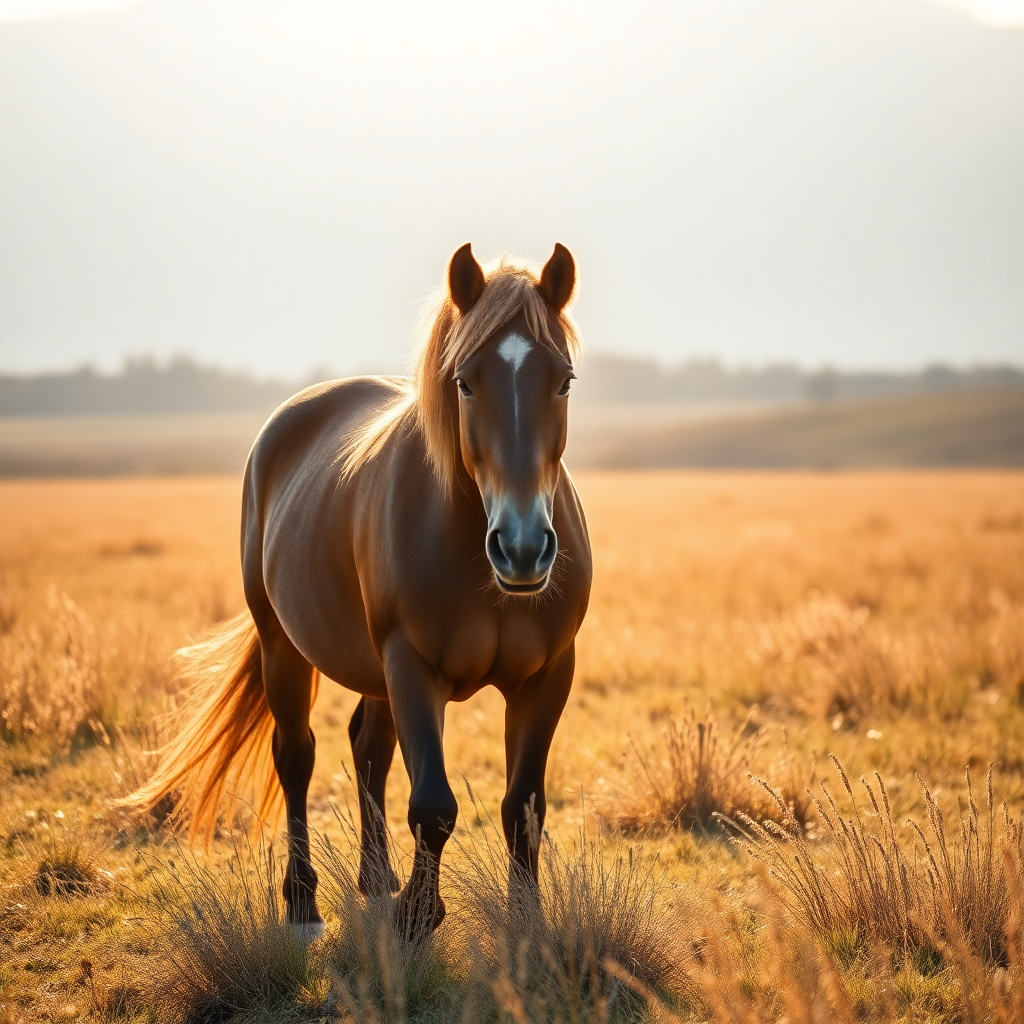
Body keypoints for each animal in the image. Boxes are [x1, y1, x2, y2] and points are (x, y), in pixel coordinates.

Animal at [128, 243, 593, 939]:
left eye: (562, 381)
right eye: (465, 381)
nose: (521, 546)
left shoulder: (547, 675)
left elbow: (524, 807)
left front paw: (526, 925)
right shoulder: (412, 665)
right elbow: (433, 804)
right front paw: (417, 918)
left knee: (369, 750)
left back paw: (376, 879)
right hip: (284, 647)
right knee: (296, 756)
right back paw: (302, 901)